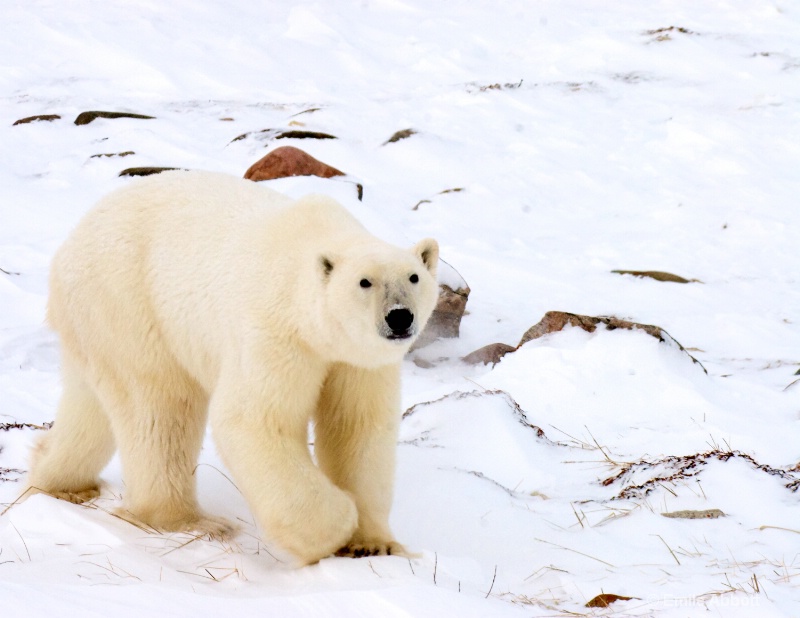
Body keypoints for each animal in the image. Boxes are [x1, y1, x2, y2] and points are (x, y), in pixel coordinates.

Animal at [26, 170, 438, 564]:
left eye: (414, 277)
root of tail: (68, 247)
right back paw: (188, 521)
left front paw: (373, 544)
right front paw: (337, 524)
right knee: (161, 410)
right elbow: (254, 420)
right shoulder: (276, 333)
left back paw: (60, 479)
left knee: (91, 405)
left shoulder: (357, 360)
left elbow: (356, 427)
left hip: (97, 324)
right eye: (364, 282)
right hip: (130, 303)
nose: (399, 317)